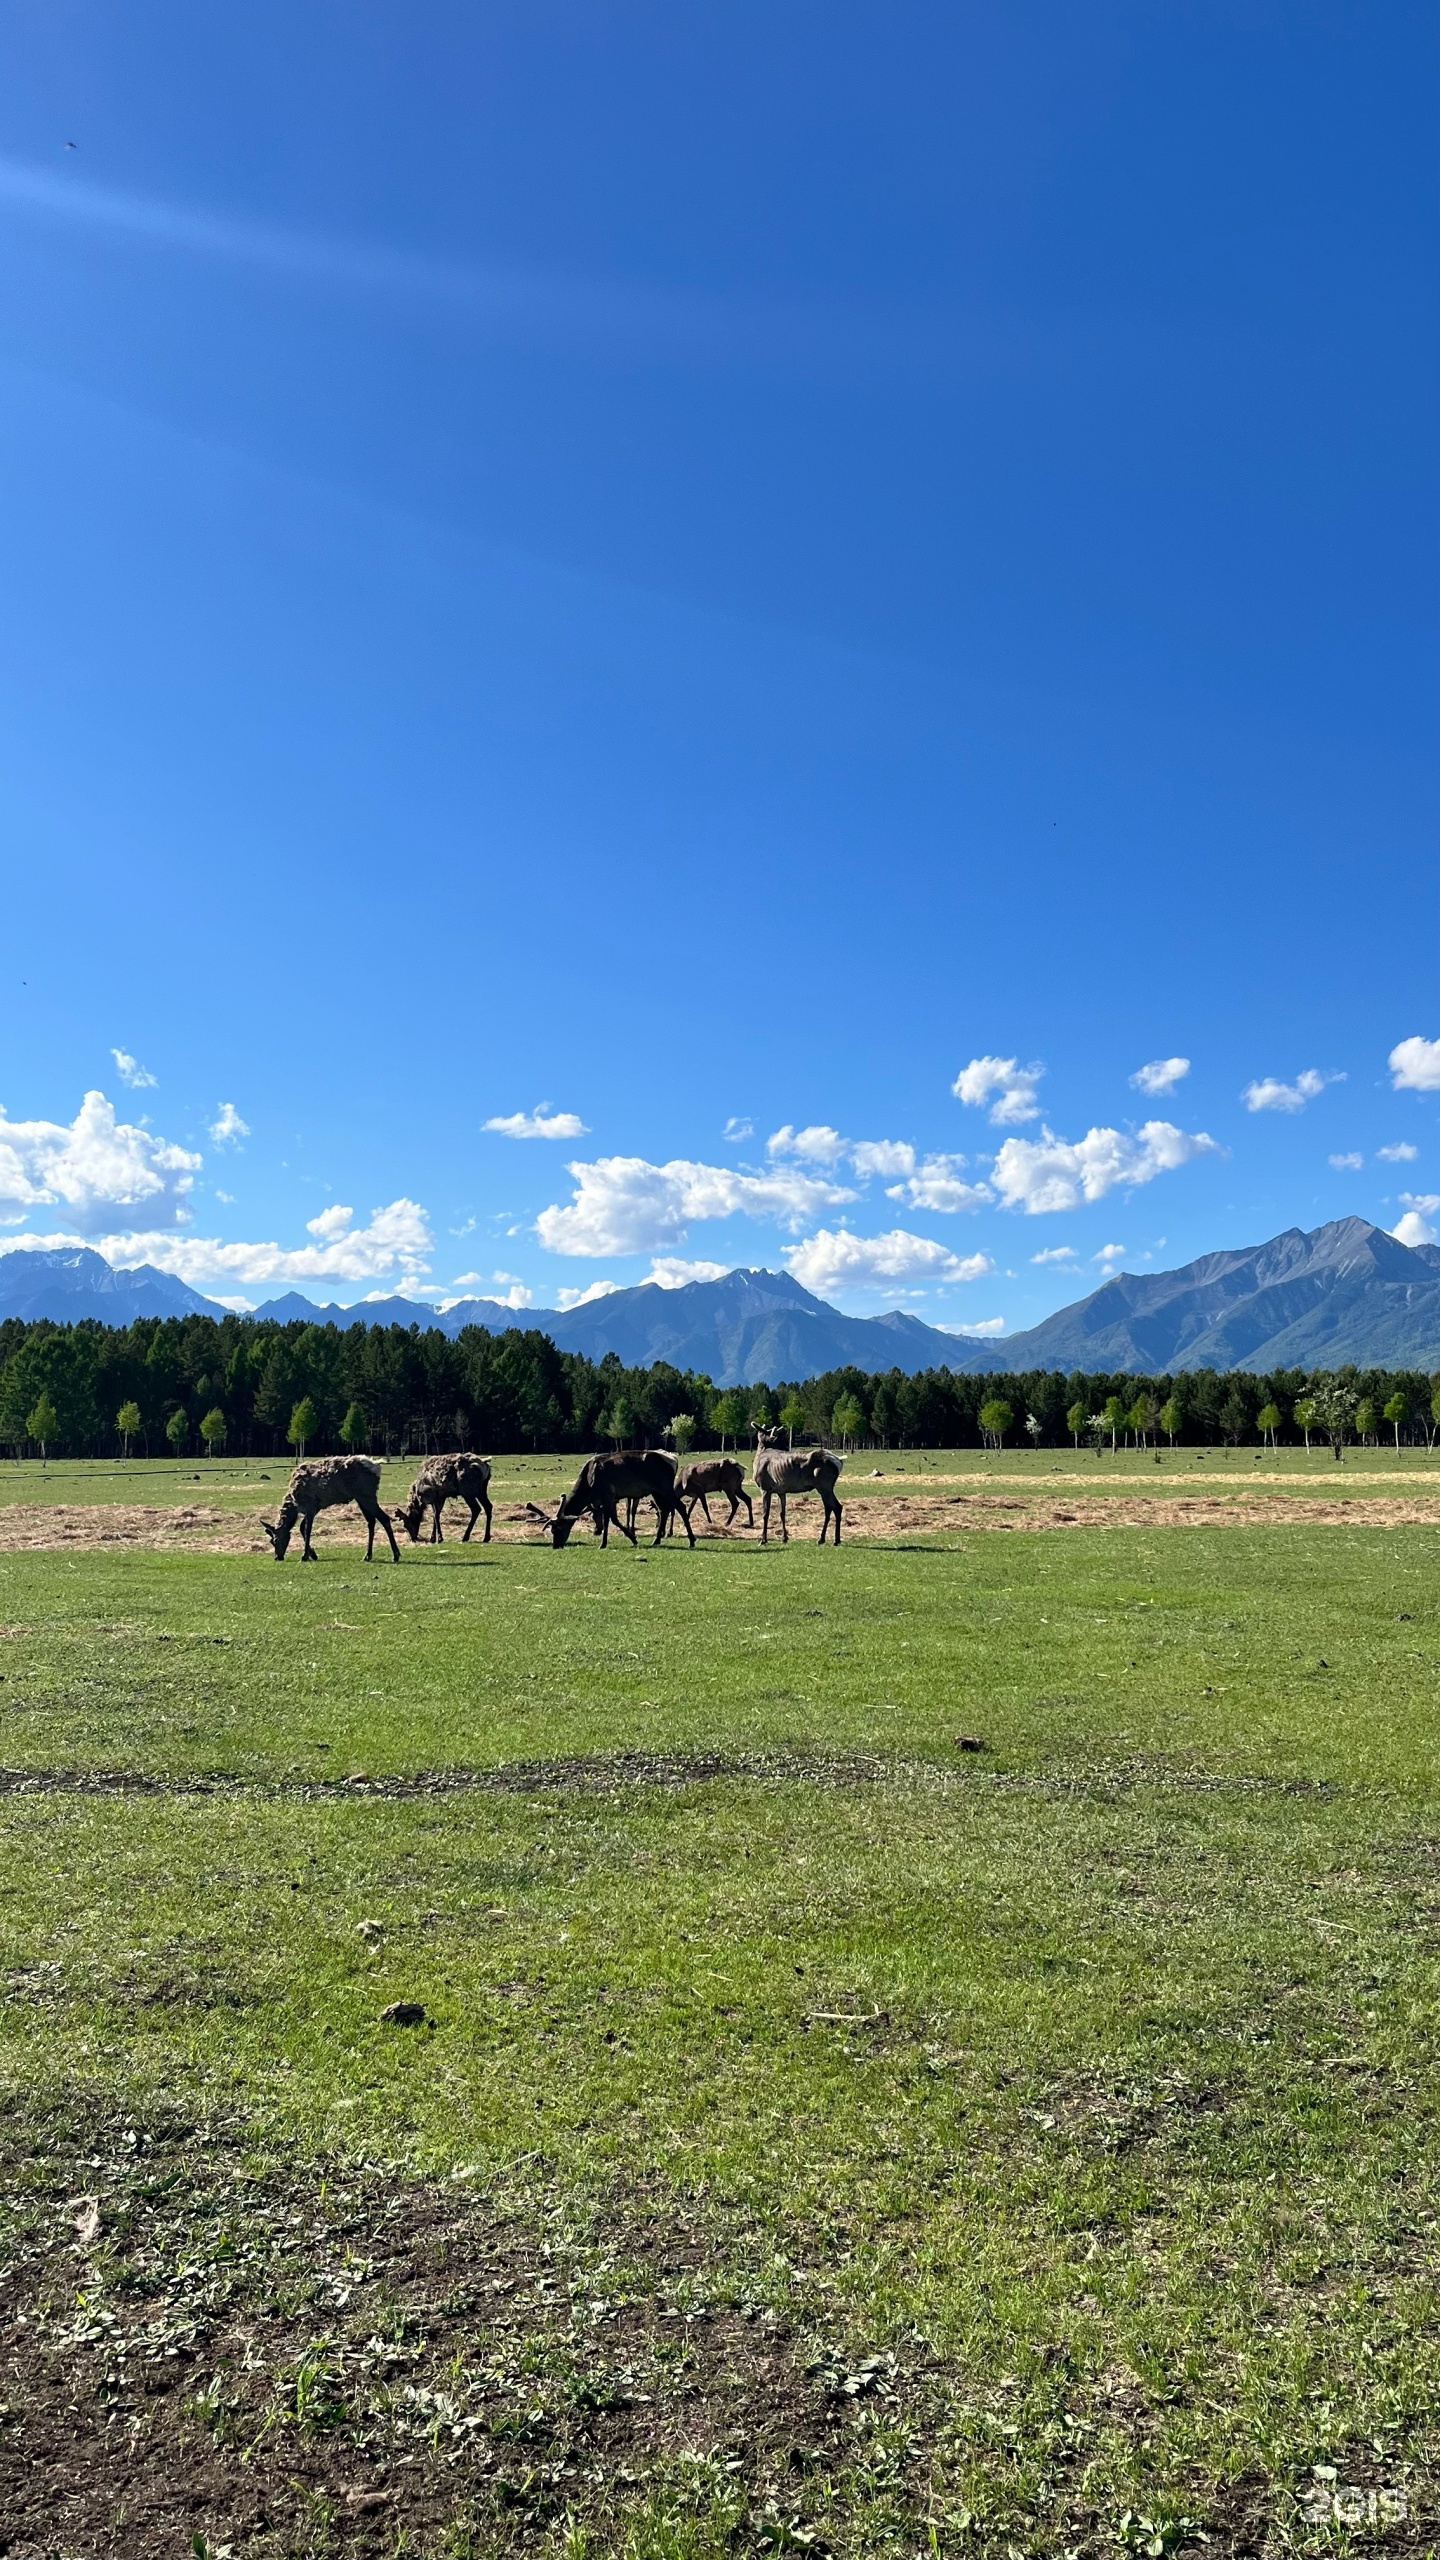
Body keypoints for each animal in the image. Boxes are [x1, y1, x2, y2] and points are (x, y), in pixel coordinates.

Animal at [260, 1464, 397, 1556]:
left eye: (275, 1540)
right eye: (271, 1541)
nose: (277, 1557)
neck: (294, 1504)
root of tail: (376, 1468)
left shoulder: (310, 1506)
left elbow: (307, 1529)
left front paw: (305, 1556)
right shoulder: (315, 1508)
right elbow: (302, 1527)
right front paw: (313, 1555)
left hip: (366, 1496)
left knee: (384, 1518)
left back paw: (395, 1555)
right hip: (361, 1498)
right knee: (371, 1521)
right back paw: (368, 1556)